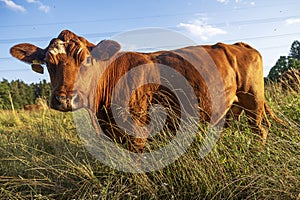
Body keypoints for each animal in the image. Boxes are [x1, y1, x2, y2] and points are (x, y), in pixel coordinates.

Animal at [10, 29, 280, 152]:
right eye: (48, 62)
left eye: (87, 59)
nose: (65, 99)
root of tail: (237, 44)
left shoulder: (138, 131)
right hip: (232, 105)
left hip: (253, 98)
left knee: (260, 127)